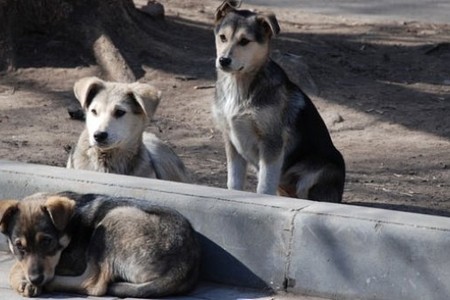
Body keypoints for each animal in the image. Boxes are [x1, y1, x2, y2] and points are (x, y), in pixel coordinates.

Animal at [0, 192, 200, 298]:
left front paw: (24, 281)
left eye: (47, 241)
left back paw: (51, 284)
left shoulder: (71, 261)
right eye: (20, 247)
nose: (35, 279)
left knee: (94, 284)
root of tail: (185, 265)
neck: (70, 228)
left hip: (113, 219)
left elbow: (15, 267)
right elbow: (19, 264)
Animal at [213, 1, 346, 203]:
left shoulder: (272, 142)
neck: (239, 86)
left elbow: (265, 186)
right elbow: (233, 182)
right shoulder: (231, 141)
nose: (223, 60)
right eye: (222, 37)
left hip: (317, 172)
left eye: (244, 41)